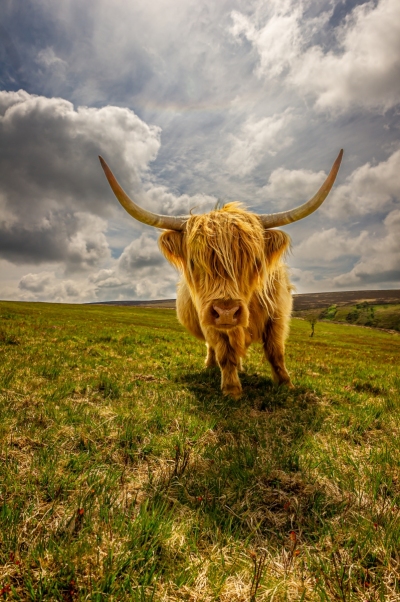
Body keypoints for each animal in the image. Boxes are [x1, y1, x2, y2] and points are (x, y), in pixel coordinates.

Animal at [98, 148, 342, 396]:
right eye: (194, 261)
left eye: (255, 261)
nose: (226, 312)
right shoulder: (209, 320)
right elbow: (225, 352)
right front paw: (232, 389)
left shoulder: (278, 314)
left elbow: (276, 352)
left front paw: (286, 384)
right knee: (214, 348)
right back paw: (211, 365)